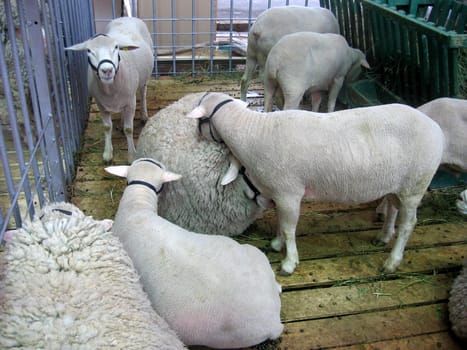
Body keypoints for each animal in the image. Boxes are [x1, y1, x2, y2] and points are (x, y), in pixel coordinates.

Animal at [66, 16, 154, 164]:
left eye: (116, 47)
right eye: (89, 51)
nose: (107, 70)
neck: (110, 89)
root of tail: (126, 17)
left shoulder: (130, 102)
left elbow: (129, 129)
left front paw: (131, 155)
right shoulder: (101, 104)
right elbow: (107, 127)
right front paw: (107, 153)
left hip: (143, 80)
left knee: (143, 93)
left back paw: (143, 115)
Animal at [187, 92, 446, 276]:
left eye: (200, 123)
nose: (195, 135)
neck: (252, 132)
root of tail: (435, 127)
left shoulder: (289, 192)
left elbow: (289, 227)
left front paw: (289, 262)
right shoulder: (282, 194)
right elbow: (281, 222)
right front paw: (277, 243)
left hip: (415, 185)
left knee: (408, 224)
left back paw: (392, 261)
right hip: (396, 184)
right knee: (393, 208)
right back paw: (383, 237)